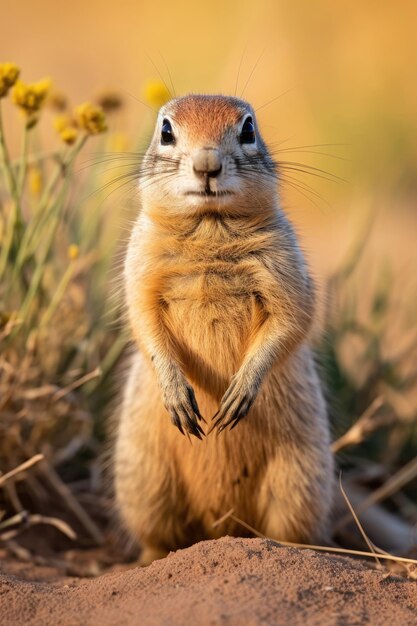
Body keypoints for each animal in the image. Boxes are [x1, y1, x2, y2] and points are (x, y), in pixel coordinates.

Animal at [113, 94, 332, 564]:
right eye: (166, 130)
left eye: (248, 128)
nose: (207, 164)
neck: (209, 225)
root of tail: (222, 525)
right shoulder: (140, 264)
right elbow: (144, 321)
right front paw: (179, 397)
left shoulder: (287, 267)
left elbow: (291, 320)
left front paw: (238, 394)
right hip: (145, 483)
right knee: (159, 538)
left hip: (298, 480)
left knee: (292, 533)